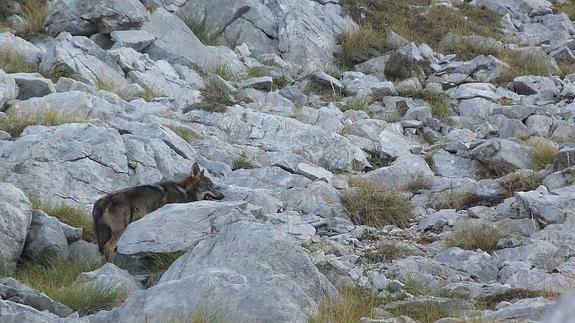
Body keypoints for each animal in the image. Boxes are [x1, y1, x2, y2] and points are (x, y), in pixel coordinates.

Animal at [91, 163, 224, 262]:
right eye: (210, 186)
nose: (223, 196)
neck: (185, 191)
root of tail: (103, 200)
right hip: (120, 231)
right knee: (108, 248)